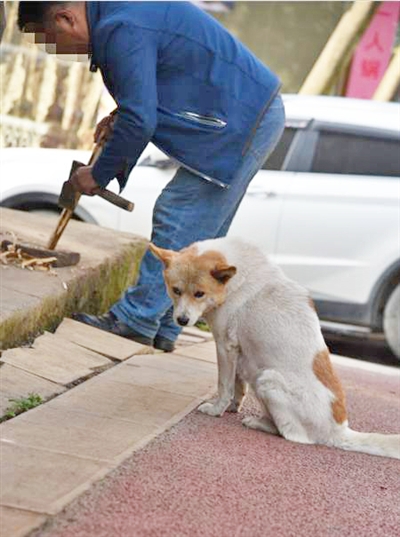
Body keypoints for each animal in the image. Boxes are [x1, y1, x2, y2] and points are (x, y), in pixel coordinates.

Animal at [149, 237, 400, 458]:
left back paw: (258, 423)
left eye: (199, 294)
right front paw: (232, 407)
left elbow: (224, 386)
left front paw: (216, 410)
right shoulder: (238, 351)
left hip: (267, 378)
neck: (235, 280)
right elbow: (238, 387)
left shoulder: (225, 346)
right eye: (176, 290)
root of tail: (338, 432)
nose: (181, 320)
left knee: (292, 435)